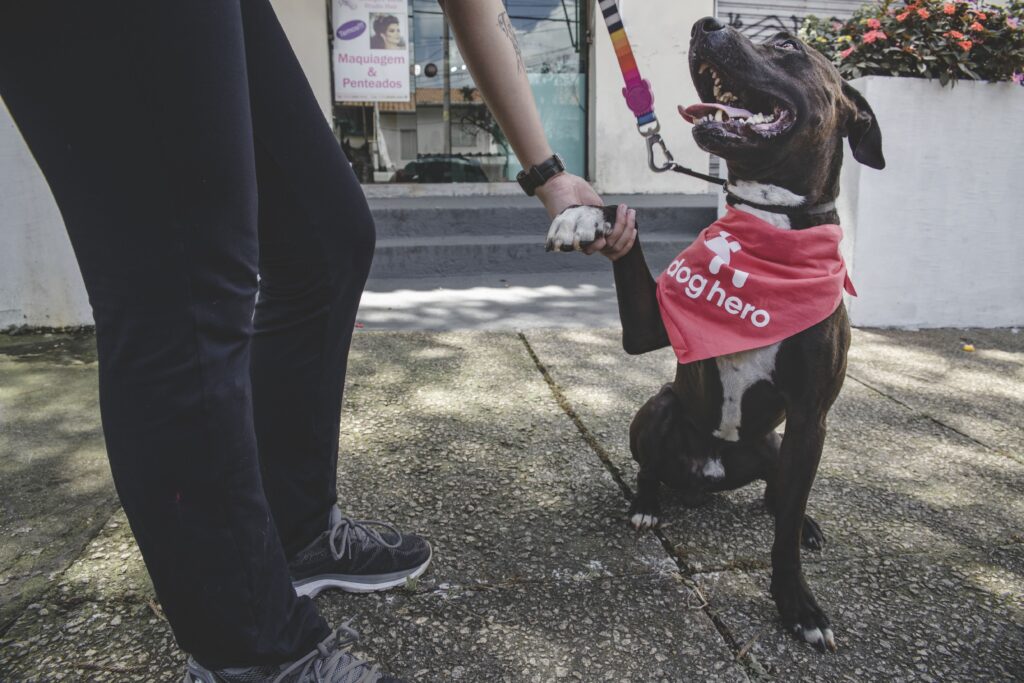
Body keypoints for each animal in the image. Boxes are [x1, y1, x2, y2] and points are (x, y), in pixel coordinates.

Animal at [548, 17, 884, 651]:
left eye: (787, 44)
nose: (706, 24)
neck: (770, 225)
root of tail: (705, 478)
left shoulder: (811, 417)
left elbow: (784, 530)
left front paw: (798, 605)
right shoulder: (647, 329)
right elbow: (624, 220)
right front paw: (583, 214)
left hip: (778, 442)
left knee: (781, 495)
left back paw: (803, 522)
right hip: (659, 407)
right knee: (651, 465)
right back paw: (647, 504)